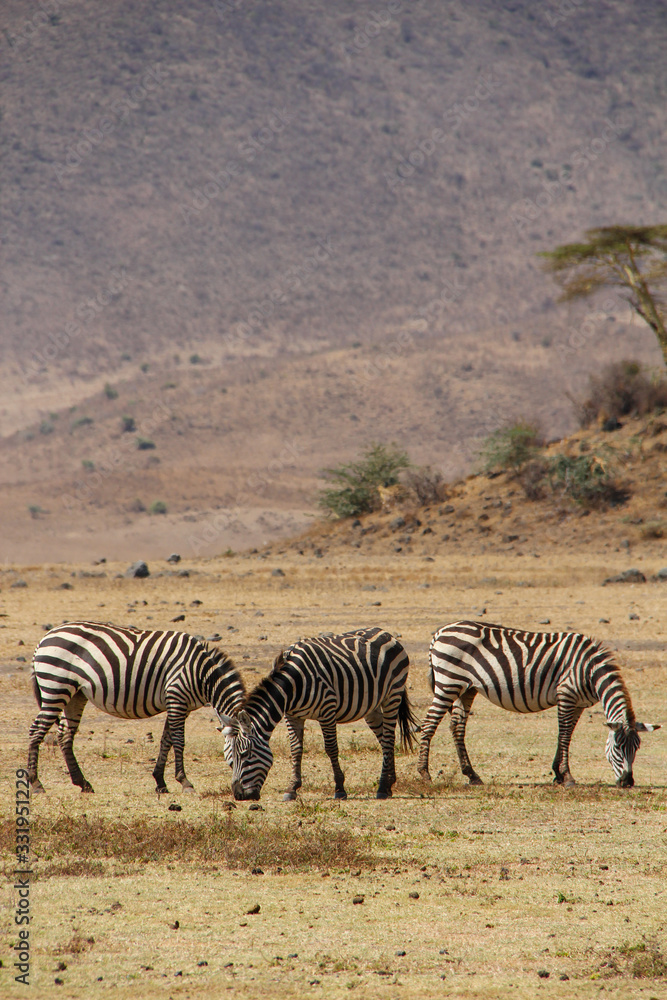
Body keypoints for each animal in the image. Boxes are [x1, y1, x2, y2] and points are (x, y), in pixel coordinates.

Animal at [28, 621, 245, 795]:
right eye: (244, 752)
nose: (240, 791)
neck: (202, 674)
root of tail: (44, 639)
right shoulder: (177, 698)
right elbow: (178, 740)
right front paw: (185, 782)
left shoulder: (178, 704)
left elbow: (166, 740)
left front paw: (160, 781)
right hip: (56, 686)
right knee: (36, 731)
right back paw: (36, 783)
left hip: (75, 694)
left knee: (65, 735)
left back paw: (83, 783)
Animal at [218, 627, 418, 801]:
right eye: (230, 758)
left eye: (245, 754)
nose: (239, 795)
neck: (292, 685)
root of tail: (385, 633)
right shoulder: (292, 716)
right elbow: (296, 750)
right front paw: (292, 789)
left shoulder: (327, 711)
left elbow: (331, 748)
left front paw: (340, 789)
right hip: (371, 706)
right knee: (384, 739)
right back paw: (389, 784)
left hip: (392, 695)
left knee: (389, 737)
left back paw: (383, 787)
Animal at [417, 620, 660, 788]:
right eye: (618, 747)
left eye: (637, 748)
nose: (627, 782)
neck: (589, 671)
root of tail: (440, 632)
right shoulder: (566, 694)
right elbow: (564, 734)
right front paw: (567, 777)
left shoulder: (579, 704)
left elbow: (567, 735)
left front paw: (557, 774)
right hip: (448, 682)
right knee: (428, 724)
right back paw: (424, 774)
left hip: (466, 688)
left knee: (457, 727)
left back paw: (472, 775)